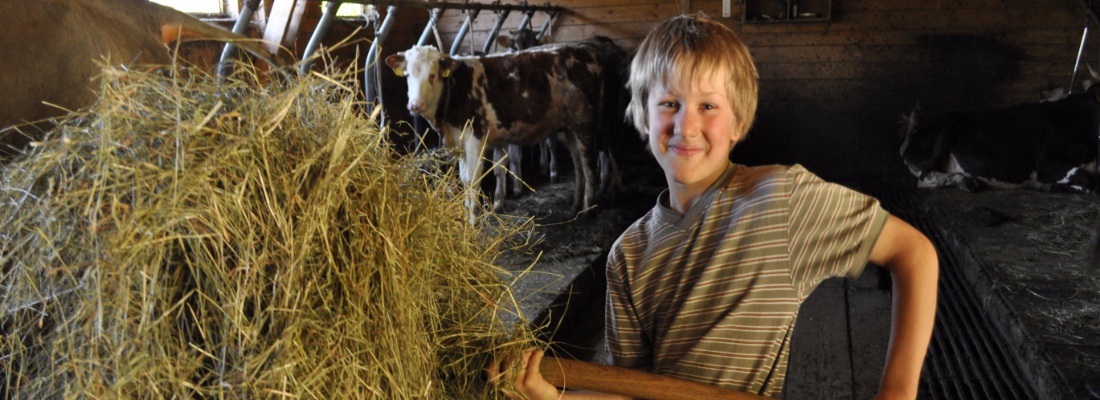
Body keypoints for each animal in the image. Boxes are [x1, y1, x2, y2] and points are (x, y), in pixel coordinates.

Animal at [387, 36, 629, 221]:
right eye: (408, 75)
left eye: (433, 75)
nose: (414, 105)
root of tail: (586, 50)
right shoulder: (460, 142)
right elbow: (467, 178)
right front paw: (469, 214)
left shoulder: (475, 138)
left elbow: (473, 180)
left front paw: (472, 221)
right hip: (570, 127)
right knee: (578, 163)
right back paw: (576, 204)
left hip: (586, 123)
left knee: (590, 164)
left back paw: (589, 209)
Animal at [902, 85, 1100, 193]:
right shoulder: (1047, 165)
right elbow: (1089, 181)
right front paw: (1052, 187)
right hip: (943, 135)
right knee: (925, 178)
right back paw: (964, 180)